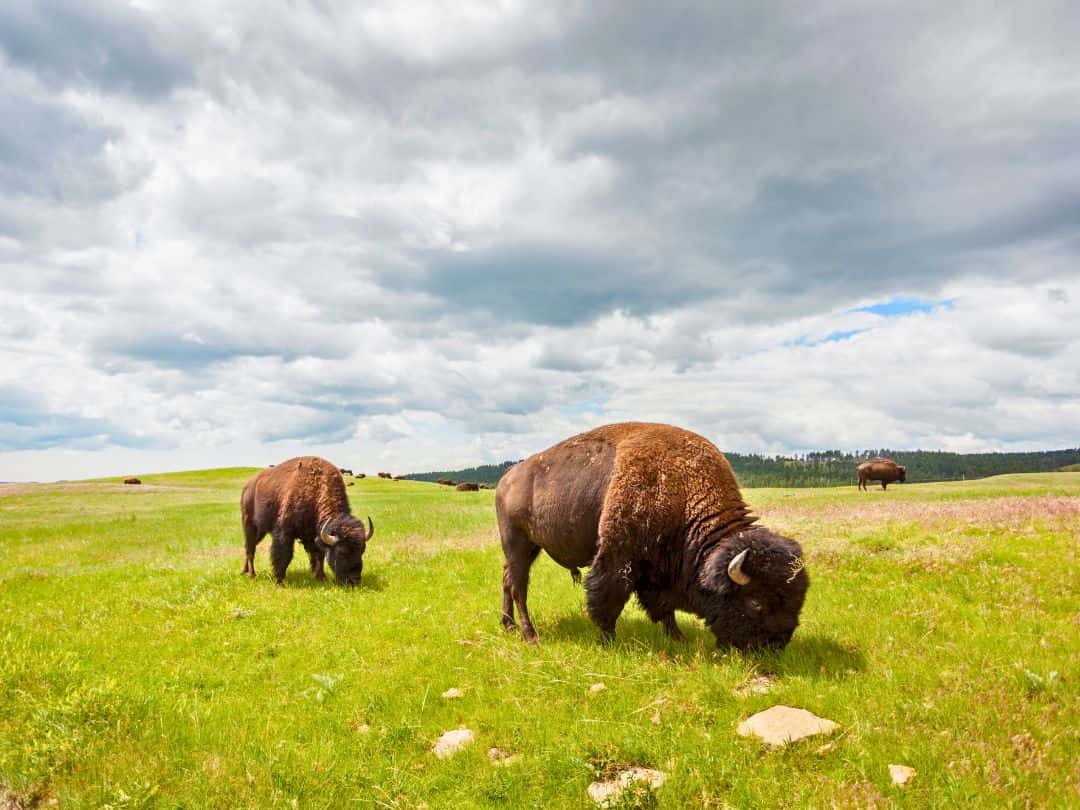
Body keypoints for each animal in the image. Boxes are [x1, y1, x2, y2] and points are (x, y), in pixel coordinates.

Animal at [240, 460, 375, 587]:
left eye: (362, 550)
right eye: (341, 552)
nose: (354, 581)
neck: (316, 486)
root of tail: (247, 486)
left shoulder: (314, 535)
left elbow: (319, 556)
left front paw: (321, 577)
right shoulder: (285, 532)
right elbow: (284, 555)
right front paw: (280, 581)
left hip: (261, 531)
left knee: (249, 546)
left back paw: (244, 571)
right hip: (249, 524)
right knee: (250, 549)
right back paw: (252, 574)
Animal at [494, 421, 807, 652]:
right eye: (756, 602)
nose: (777, 646)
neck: (683, 490)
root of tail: (506, 479)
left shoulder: (656, 571)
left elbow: (663, 607)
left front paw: (679, 637)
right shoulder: (618, 559)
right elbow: (608, 599)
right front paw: (608, 641)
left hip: (527, 549)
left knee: (507, 580)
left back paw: (508, 625)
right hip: (518, 544)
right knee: (519, 587)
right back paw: (530, 636)